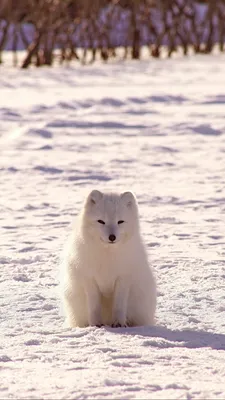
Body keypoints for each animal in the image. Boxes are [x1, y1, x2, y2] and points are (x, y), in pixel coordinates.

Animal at [61, 191, 156, 328]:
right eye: (101, 221)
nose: (112, 237)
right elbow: (94, 306)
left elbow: (119, 305)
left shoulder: (123, 278)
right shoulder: (89, 279)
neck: (108, 254)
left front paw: (119, 323)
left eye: (120, 221)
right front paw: (95, 324)